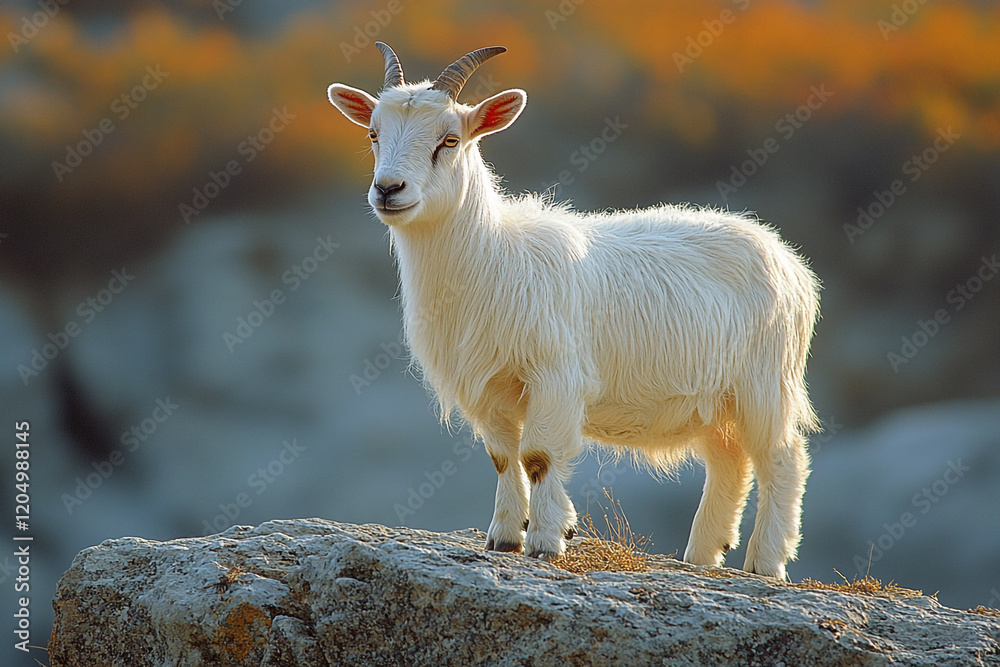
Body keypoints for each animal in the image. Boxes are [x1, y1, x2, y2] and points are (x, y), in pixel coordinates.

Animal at [327, 43, 820, 579]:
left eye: (450, 139)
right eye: (373, 133)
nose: (388, 189)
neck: (493, 256)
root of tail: (789, 259)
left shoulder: (554, 375)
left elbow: (538, 456)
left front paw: (546, 540)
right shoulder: (489, 386)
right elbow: (503, 456)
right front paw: (503, 538)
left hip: (766, 382)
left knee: (782, 458)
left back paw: (765, 563)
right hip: (715, 397)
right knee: (730, 462)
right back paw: (703, 555)